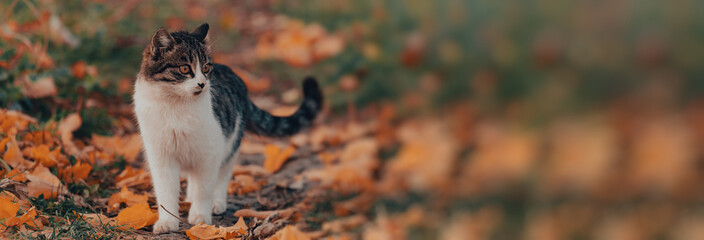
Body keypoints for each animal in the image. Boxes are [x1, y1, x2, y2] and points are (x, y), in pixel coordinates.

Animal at [133, 23, 324, 232]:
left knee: (221, 178)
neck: (175, 107)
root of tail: (239, 79)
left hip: (230, 146)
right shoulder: (161, 156)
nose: (202, 83)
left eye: (206, 67)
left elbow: (204, 189)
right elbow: (166, 191)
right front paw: (168, 222)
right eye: (184, 68)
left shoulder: (210, 153)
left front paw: (200, 218)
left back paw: (216, 204)